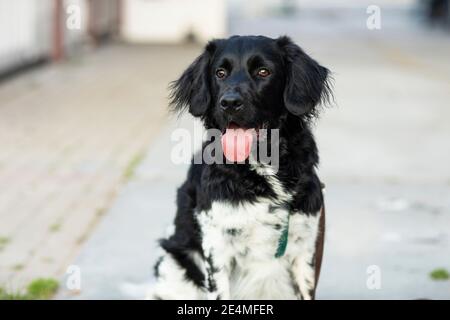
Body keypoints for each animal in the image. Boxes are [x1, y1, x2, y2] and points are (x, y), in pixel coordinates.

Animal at [150, 35, 330, 300]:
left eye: (263, 71)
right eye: (220, 73)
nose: (229, 103)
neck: (262, 172)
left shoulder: (305, 247)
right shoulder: (217, 248)